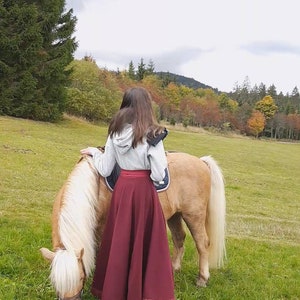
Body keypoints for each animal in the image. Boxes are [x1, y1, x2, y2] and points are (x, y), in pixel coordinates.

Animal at [41, 152, 226, 300]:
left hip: (194, 216)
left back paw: (202, 279)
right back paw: (174, 270)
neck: (95, 189)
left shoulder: (103, 231)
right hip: (175, 215)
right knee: (179, 238)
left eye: (80, 278)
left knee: (202, 244)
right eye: (56, 283)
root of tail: (201, 162)